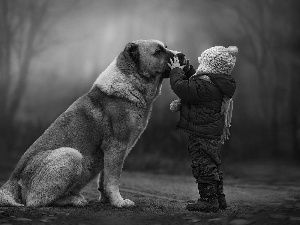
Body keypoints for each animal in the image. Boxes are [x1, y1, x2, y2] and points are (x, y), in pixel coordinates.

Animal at [0, 39, 180, 208]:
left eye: (165, 47)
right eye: (158, 51)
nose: (182, 56)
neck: (131, 83)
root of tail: (12, 179)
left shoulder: (111, 152)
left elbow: (104, 179)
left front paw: (107, 200)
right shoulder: (116, 146)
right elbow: (113, 179)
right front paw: (119, 202)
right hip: (71, 155)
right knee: (35, 201)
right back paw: (74, 200)